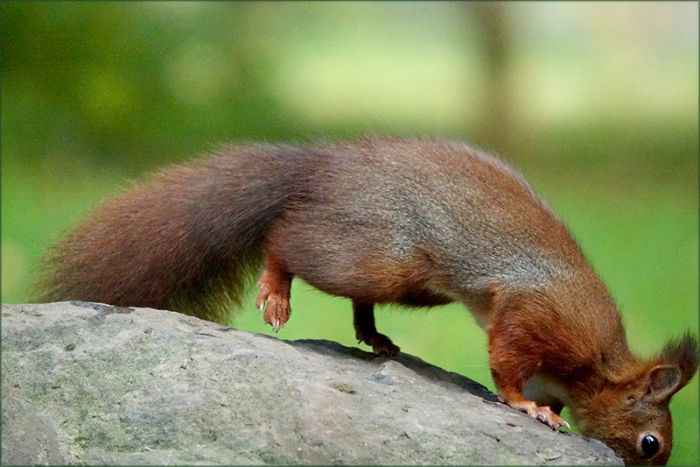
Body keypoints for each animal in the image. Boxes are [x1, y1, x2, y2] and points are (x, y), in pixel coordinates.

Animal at [38, 137, 697, 465]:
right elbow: (509, 364)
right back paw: (276, 290)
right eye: (651, 444)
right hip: (379, 257)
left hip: (408, 284)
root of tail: (327, 168)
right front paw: (527, 407)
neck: (596, 366)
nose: (646, 464)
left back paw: (376, 339)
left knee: (358, 301)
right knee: (287, 240)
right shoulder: (536, 316)